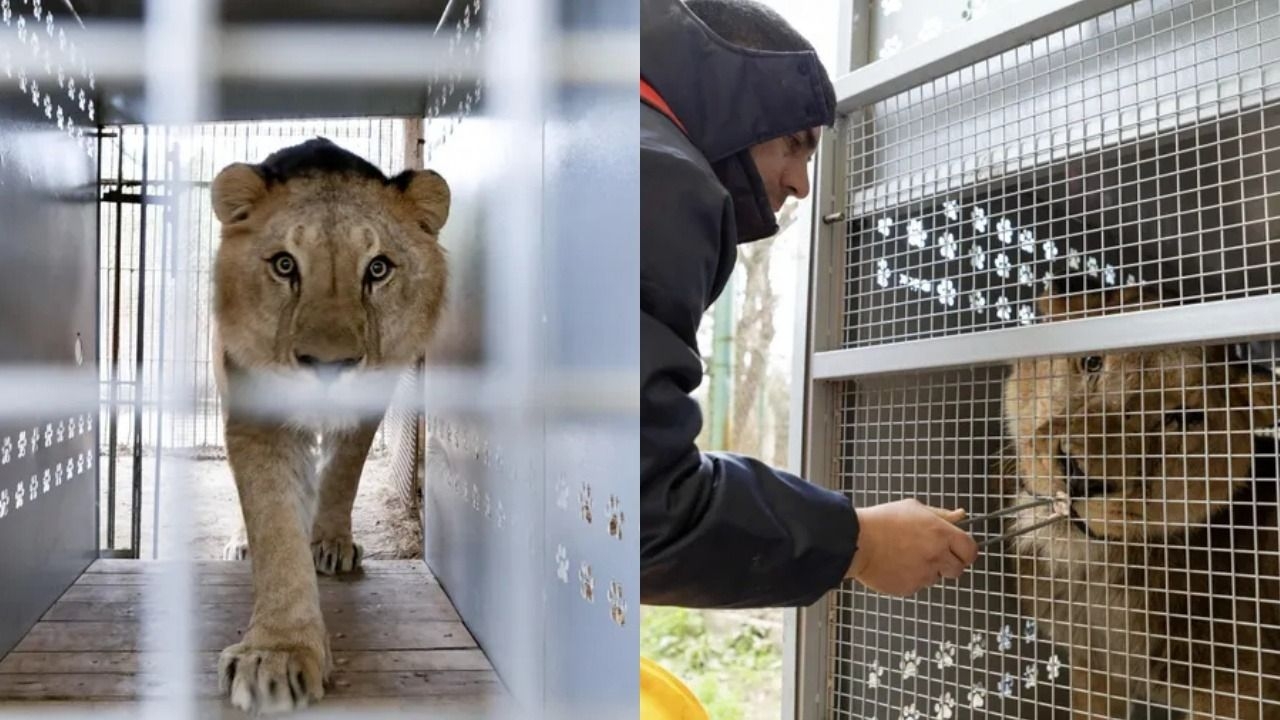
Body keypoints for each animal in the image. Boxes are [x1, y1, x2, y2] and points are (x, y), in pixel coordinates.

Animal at [208, 137, 449, 714]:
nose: (327, 366)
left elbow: (343, 473)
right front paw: (277, 654)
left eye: (378, 268)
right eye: (284, 264)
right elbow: (274, 523)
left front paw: (330, 542)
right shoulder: (256, 412)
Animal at [1003, 286, 1280, 719]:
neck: (1093, 572)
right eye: (1092, 362)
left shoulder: (1244, 693)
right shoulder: (1094, 669)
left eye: (1185, 417)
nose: (1080, 475)